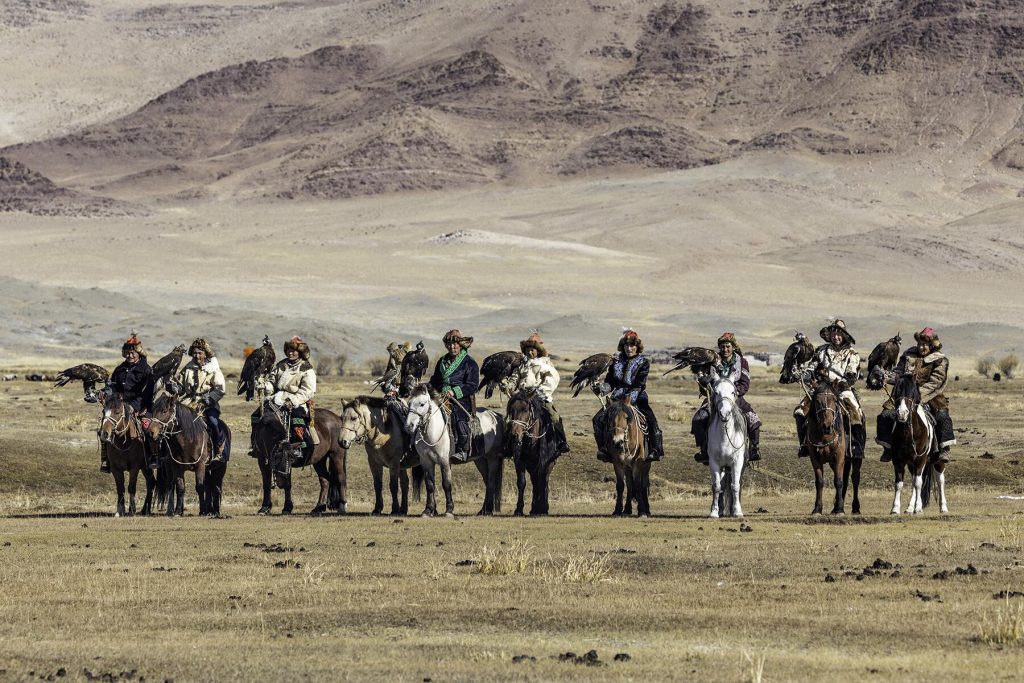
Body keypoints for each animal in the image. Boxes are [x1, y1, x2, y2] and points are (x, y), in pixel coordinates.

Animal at [405, 385, 505, 518]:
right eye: (409, 403)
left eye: (422, 404)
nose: (409, 426)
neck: (433, 432)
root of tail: (496, 415)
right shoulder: (426, 462)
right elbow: (430, 485)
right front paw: (428, 510)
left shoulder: (444, 461)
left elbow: (447, 484)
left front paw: (449, 509)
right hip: (481, 460)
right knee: (487, 482)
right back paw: (483, 510)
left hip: (492, 458)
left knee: (491, 481)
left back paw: (488, 510)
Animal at [708, 376, 749, 516]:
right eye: (716, 392)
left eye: (733, 391)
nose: (724, 414)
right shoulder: (714, 462)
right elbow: (716, 486)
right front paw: (714, 512)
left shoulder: (737, 462)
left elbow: (735, 485)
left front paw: (737, 511)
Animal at [888, 374, 950, 511]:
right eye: (896, 392)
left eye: (912, 392)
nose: (902, 414)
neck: (908, 433)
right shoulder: (898, 460)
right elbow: (899, 483)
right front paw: (895, 508)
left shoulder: (920, 459)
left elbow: (918, 483)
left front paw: (918, 508)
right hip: (912, 464)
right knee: (914, 480)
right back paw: (910, 507)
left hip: (937, 461)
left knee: (940, 480)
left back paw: (943, 507)